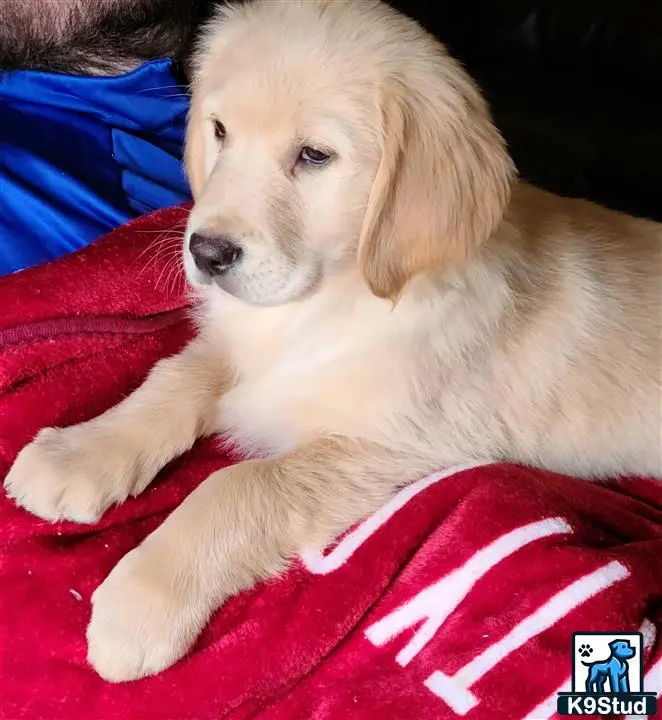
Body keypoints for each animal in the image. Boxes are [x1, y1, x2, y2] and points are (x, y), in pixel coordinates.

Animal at [5, 0, 662, 680]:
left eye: (315, 156)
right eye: (220, 131)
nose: (207, 253)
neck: (328, 303)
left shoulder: (388, 445)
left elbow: (236, 488)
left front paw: (143, 597)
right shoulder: (239, 345)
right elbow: (173, 379)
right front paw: (81, 451)